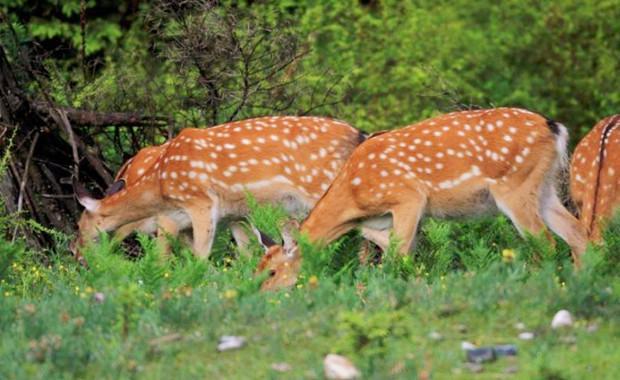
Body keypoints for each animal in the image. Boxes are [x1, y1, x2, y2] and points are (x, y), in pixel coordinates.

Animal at [70, 116, 378, 258]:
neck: (160, 183)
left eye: (81, 225)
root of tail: (359, 135)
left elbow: (197, 256)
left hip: (322, 185)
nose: (76, 253)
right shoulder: (232, 214)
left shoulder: (202, 203)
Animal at [256, 108, 588, 290]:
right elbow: (398, 253)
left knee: (546, 241)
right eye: (256, 269)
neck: (353, 196)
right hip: (544, 187)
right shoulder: (377, 223)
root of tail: (554, 127)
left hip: (514, 185)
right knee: (577, 234)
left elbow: (399, 255)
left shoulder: (407, 197)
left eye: (272, 271)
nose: (260, 293)